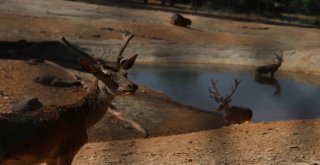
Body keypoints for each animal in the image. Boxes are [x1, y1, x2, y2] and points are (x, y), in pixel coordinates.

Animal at [0, 32, 140, 164]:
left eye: (126, 73)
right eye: (106, 75)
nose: (132, 86)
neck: (82, 120)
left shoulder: (49, 158)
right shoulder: (68, 150)